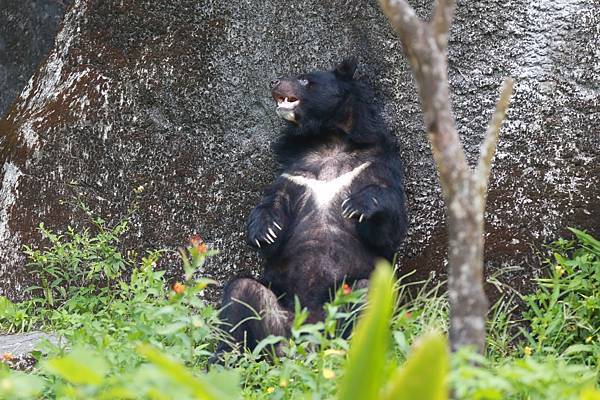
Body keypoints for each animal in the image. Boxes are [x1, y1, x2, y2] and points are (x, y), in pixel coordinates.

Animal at [216, 57, 408, 354]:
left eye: (305, 79)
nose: (274, 82)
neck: (327, 140)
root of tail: (305, 341)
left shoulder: (375, 165)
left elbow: (390, 227)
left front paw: (357, 205)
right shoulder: (294, 173)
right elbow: (272, 205)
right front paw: (264, 231)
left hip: (344, 303)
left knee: (366, 291)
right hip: (276, 318)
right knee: (241, 294)